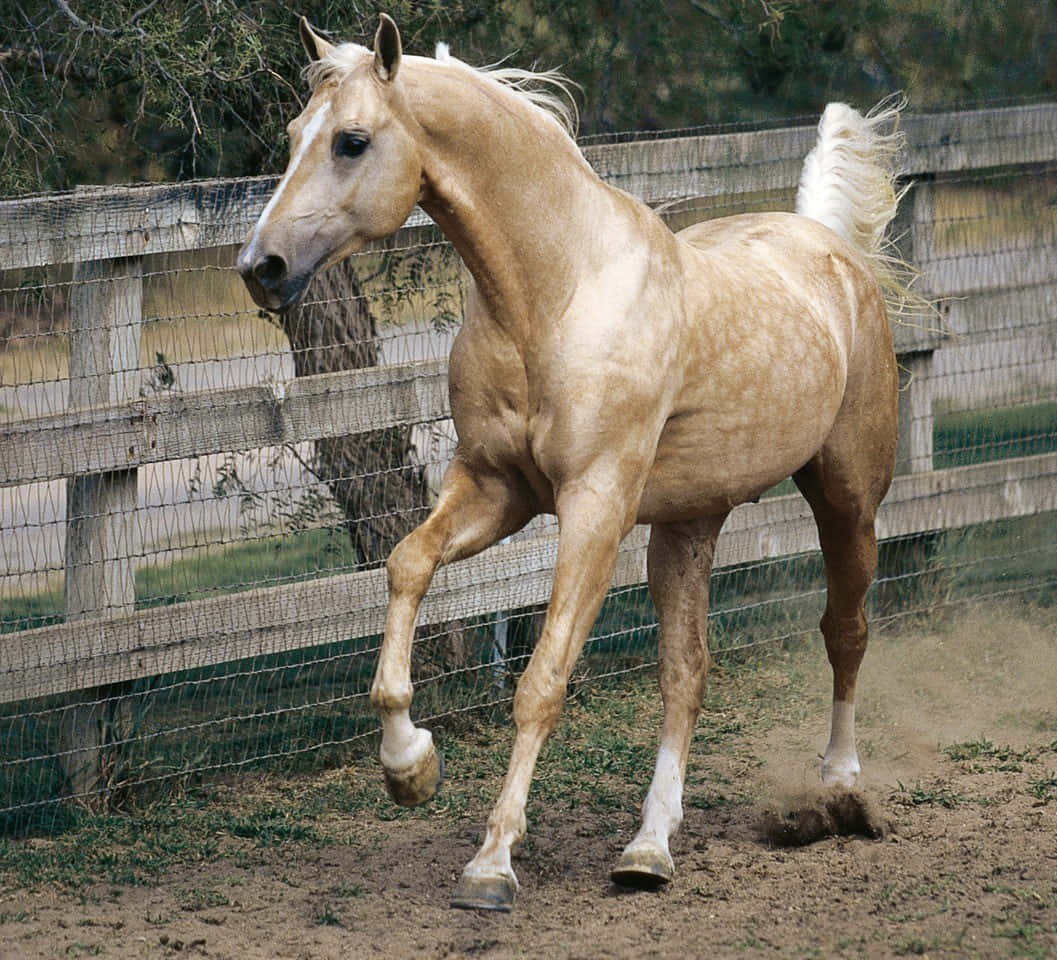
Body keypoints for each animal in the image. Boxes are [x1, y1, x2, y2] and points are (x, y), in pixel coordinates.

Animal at [238, 14, 903, 912]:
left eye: (351, 141)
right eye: (291, 134)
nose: (260, 269)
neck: (552, 295)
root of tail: (831, 247)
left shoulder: (594, 507)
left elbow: (541, 682)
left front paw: (491, 864)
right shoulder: (493, 490)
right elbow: (407, 565)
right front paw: (409, 767)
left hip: (845, 497)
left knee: (844, 631)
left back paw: (836, 787)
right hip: (689, 524)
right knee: (686, 673)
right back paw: (648, 849)